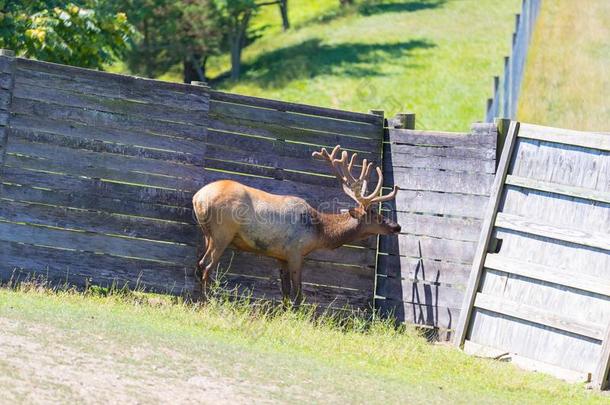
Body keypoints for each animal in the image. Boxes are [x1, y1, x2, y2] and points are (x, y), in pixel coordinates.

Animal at [191, 145, 400, 304]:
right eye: (374, 214)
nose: (396, 226)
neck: (319, 232)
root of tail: (198, 197)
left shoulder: (280, 256)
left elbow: (284, 291)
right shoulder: (295, 252)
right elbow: (298, 293)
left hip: (207, 233)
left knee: (199, 263)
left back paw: (198, 299)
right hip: (222, 233)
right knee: (207, 266)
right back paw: (206, 301)